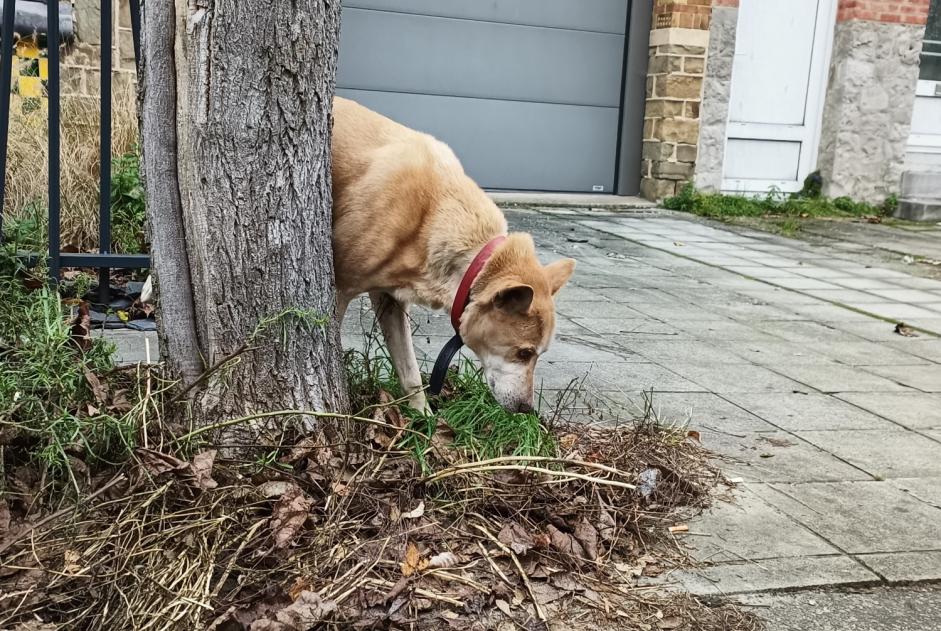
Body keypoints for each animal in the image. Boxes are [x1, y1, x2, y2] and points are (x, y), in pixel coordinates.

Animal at [334, 97, 576, 414]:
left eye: (540, 354)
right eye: (524, 353)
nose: (527, 409)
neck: (434, 211)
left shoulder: (390, 301)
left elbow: (410, 372)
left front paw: (424, 419)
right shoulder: (340, 289)